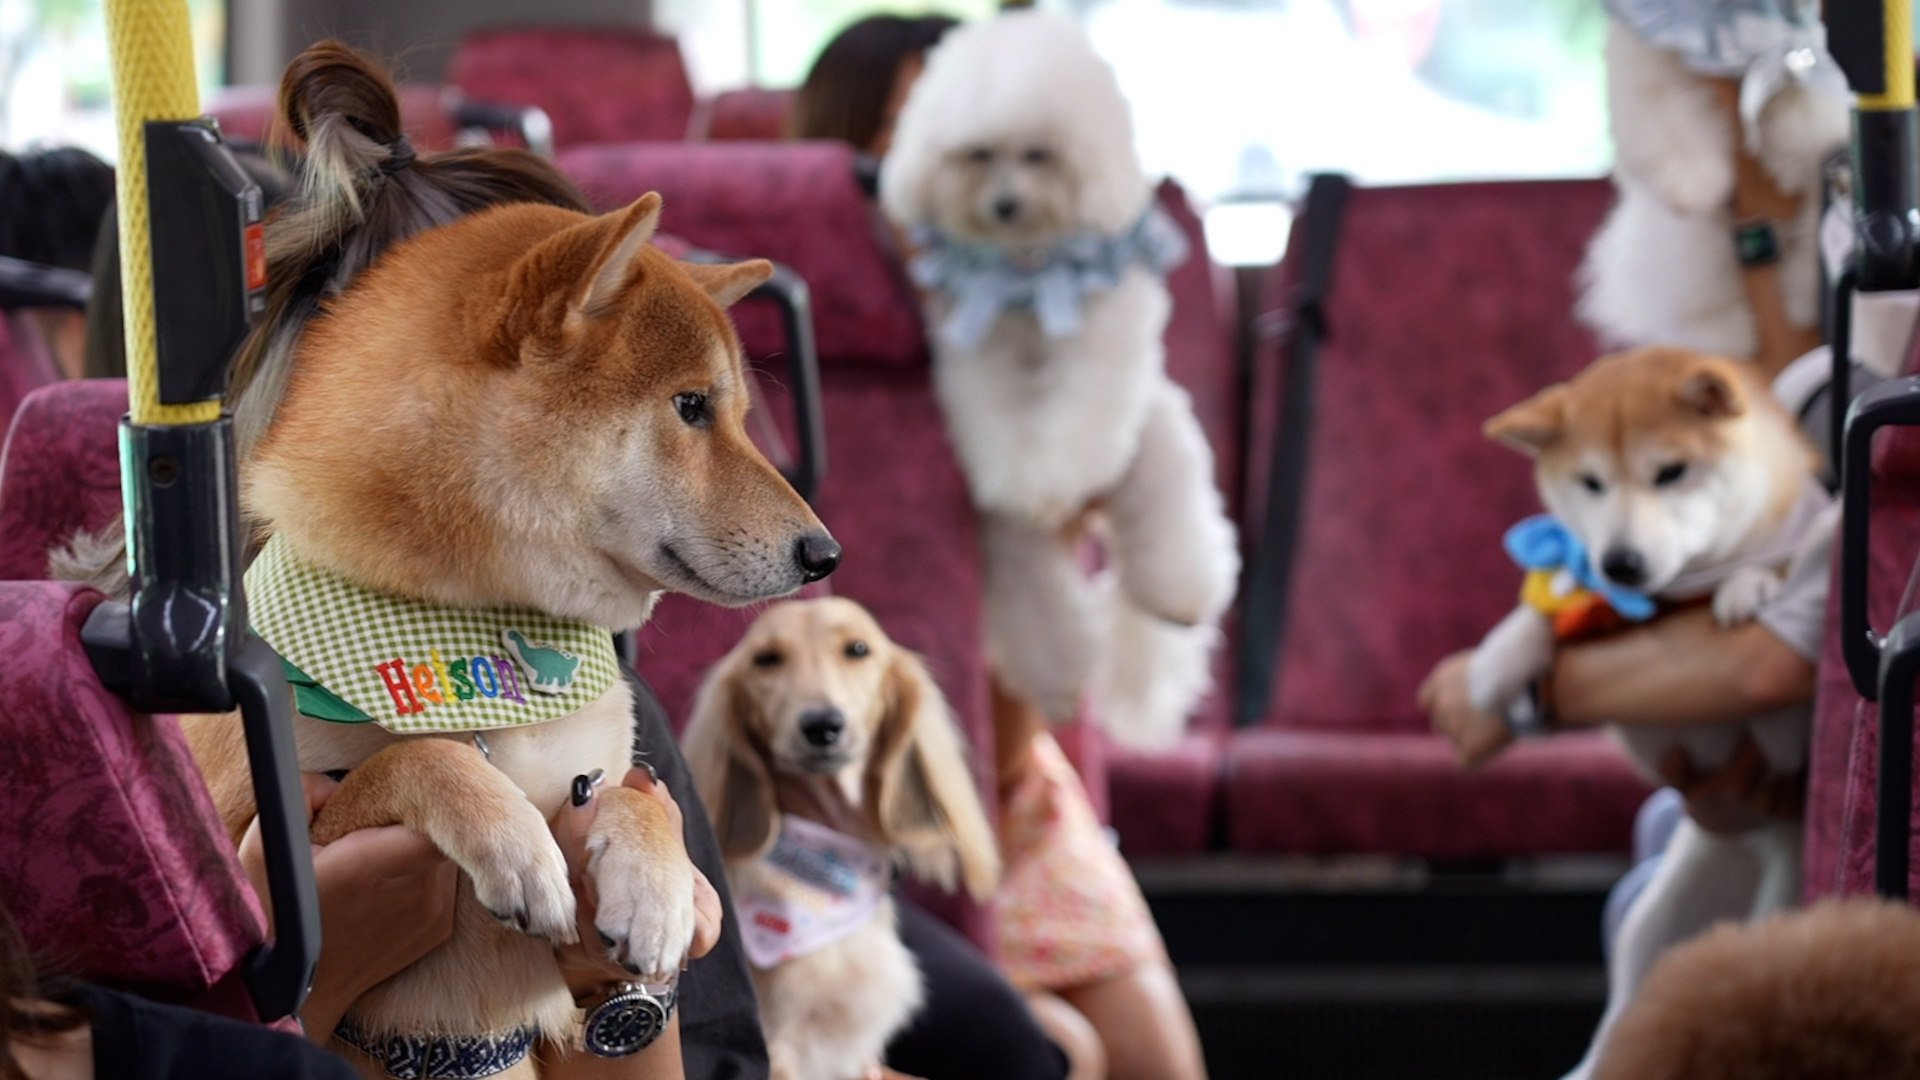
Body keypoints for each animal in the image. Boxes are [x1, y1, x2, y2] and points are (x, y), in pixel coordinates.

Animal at [879, 14, 1236, 737]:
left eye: (1039, 154)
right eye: (978, 154)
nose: (1004, 205)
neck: (1028, 277)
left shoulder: (1101, 343)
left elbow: (1082, 411)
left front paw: (1056, 475)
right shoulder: (980, 353)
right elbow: (999, 420)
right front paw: (1030, 485)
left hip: (1158, 452)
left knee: (1173, 534)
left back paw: (1180, 597)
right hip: (1009, 546)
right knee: (1037, 598)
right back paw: (1059, 676)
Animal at [1466, 345, 1827, 1076]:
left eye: (1671, 472)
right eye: (1591, 483)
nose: (1622, 562)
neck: (1686, 589)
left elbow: (1779, 576)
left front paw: (1750, 586)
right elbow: (1555, 602)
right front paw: (1500, 658)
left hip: (1778, 901)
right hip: (1656, 929)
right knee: (1631, 1008)